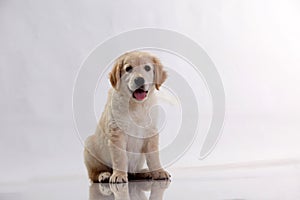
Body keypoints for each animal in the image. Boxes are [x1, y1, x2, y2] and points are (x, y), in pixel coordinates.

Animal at [83, 51, 170, 183]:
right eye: (128, 68)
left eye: (147, 68)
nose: (139, 80)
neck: (136, 105)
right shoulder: (116, 132)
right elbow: (120, 157)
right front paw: (118, 175)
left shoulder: (151, 132)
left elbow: (154, 156)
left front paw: (159, 171)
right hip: (89, 145)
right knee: (93, 174)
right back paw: (104, 175)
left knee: (133, 173)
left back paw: (145, 172)